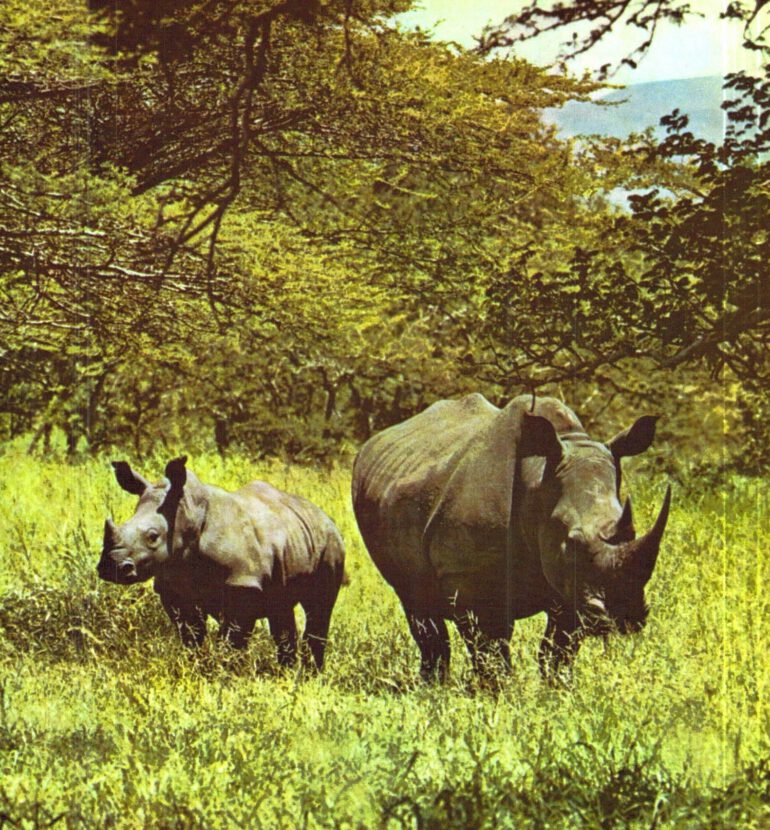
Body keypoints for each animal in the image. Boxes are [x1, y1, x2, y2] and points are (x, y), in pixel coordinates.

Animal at [98, 456, 346, 669]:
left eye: (152, 536)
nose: (112, 567)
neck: (187, 515)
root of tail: (322, 514)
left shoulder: (244, 585)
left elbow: (231, 641)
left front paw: (224, 673)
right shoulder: (174, 588)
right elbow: (191, 636)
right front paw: (195, 668)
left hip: (331, 540)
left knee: (319, 606)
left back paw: (310, 675)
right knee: (281, 607)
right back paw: (287, 674)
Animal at [352, 394, 671, 681]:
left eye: (632, 531)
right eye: (572, 543)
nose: (624, 616)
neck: (538, 478)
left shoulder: (571, 588)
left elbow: (557, 654)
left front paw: (557, 692)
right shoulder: (470, 579)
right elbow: (491, 653)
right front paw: (495, 696)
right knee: (416, 602)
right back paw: (433, 688)